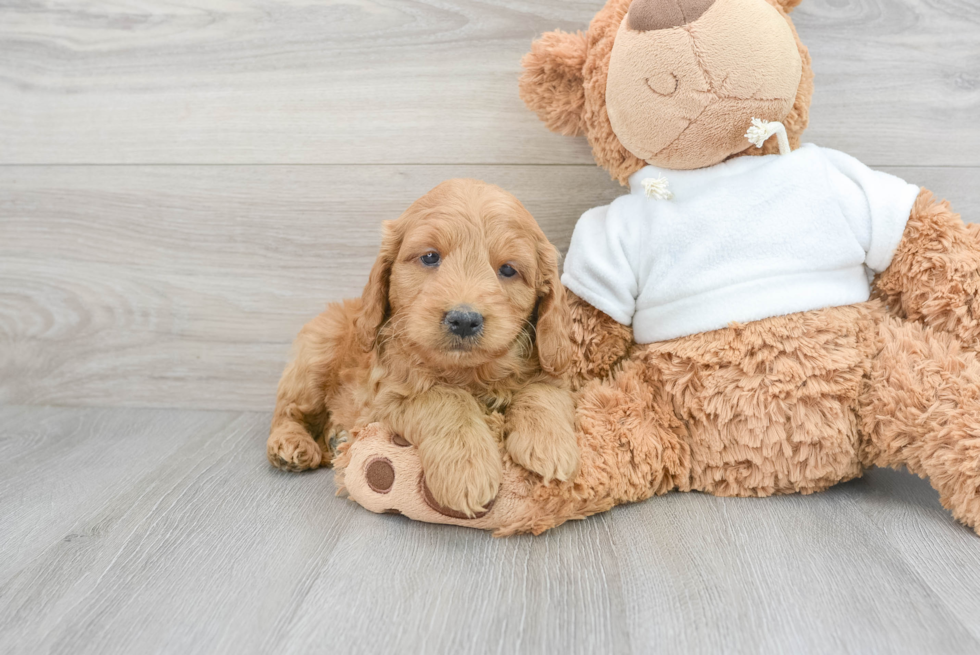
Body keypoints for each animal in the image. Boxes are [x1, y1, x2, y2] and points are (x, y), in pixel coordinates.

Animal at [268, 179, 580, 516]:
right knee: (288, 409)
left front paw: (549, 445)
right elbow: (446, 399)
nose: (464, 320)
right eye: (430, 257)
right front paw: (467, 469)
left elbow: (543, 389)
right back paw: (291, 444)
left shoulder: (552, 362)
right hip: (316, 354)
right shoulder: (386, 395)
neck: (467, 372)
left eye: (508, 270)